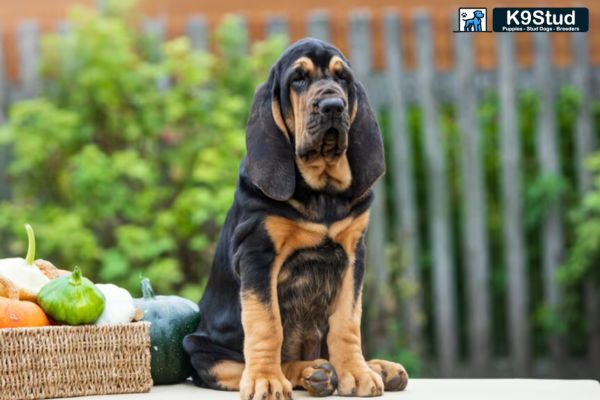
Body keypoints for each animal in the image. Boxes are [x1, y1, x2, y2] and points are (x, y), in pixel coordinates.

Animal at [183, 38, 408, 400]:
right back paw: (310, 372)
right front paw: (266, 380)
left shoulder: (353, 255)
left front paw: (357, 372)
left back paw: (376, 368)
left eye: (342, 78)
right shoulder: (257, 255)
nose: (333, 106)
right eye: (298, 79)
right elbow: (266, 323)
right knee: (246, 362)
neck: (322, 192)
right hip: (199, 348)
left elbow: (347, 321)